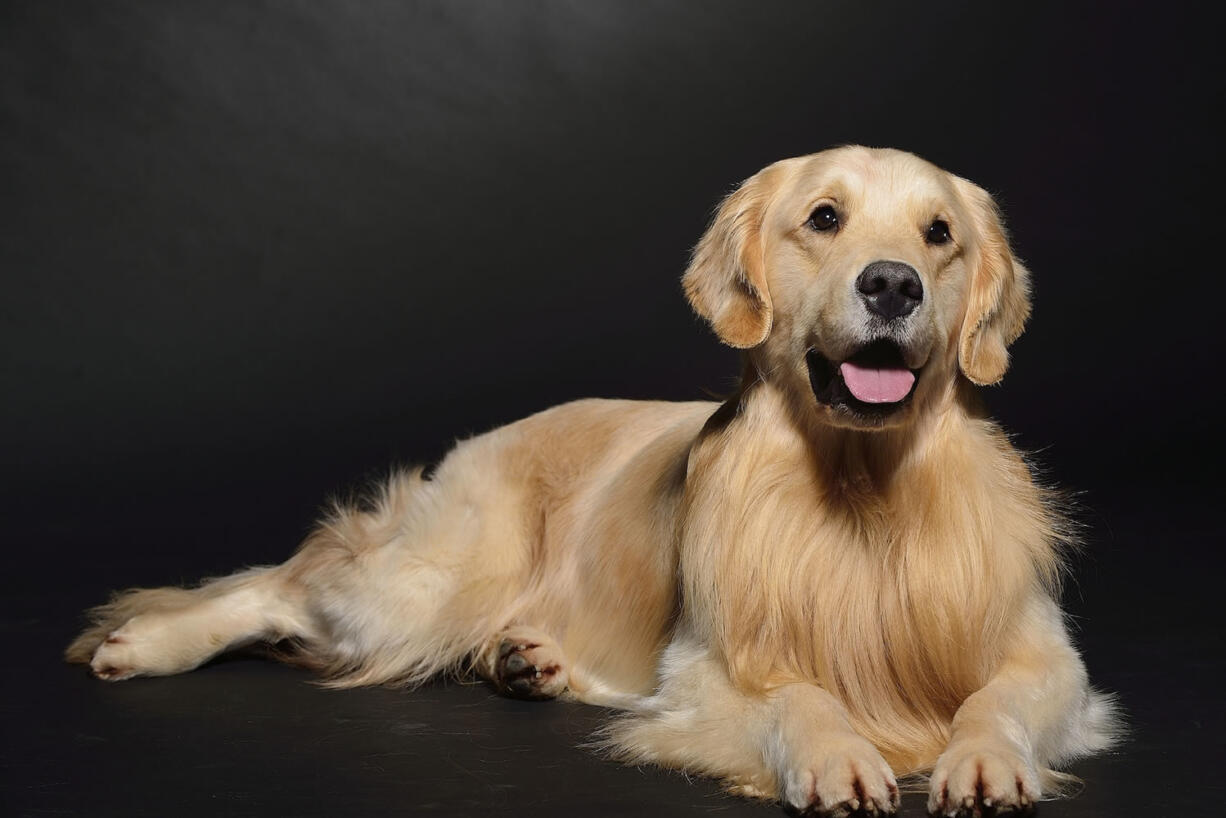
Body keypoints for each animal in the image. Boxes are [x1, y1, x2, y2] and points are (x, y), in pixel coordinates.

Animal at [67, 149, 1123, 818]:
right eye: (824, 219)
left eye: (939, 233)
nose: (894, 284)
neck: (864, 488)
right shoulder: (708, 668)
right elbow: (799, 698)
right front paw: (838, 756)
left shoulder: (1048, 656)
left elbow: (997, 701)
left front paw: (981, 760)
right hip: (424, 581)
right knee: (279, 583)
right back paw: (144, 643)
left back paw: (524, 661)